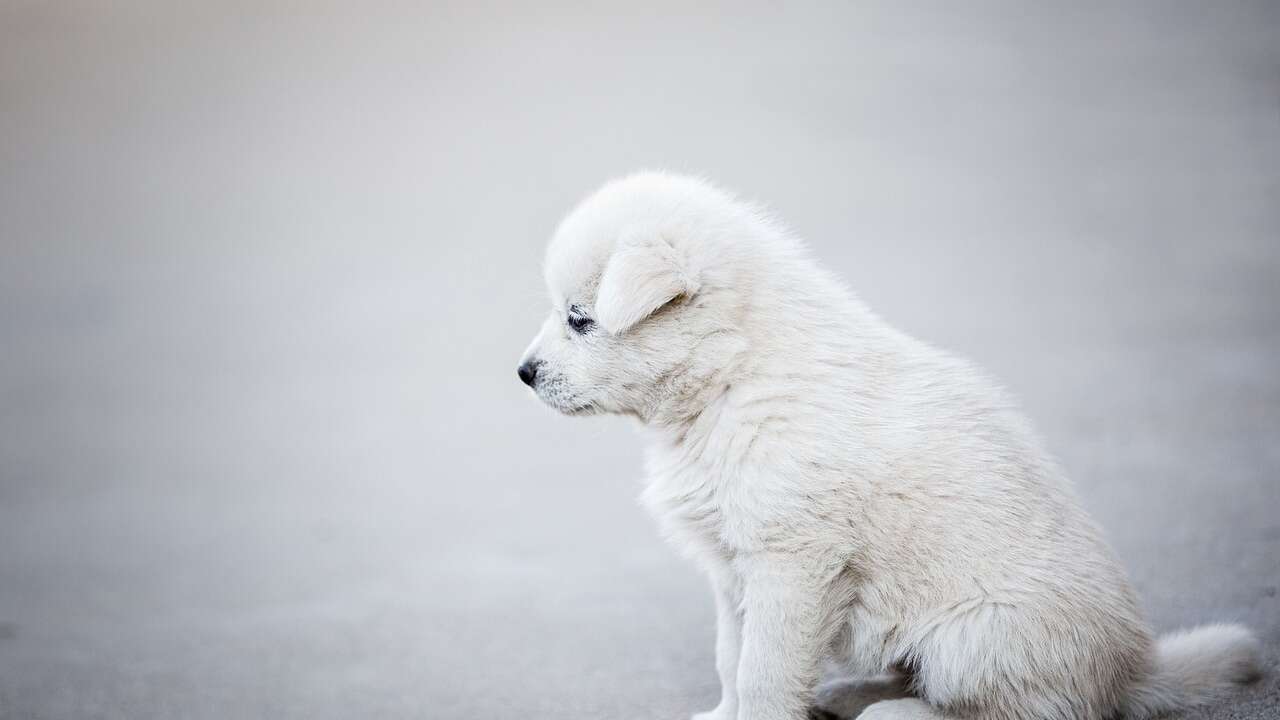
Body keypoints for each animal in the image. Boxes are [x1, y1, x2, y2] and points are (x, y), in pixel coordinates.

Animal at [514, 174, 1254, 717]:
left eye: (579, 319)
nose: (523, 373)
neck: (733, 377)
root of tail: (1131, 672)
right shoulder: (732, 565)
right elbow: (731, 656)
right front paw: (723, 714)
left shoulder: (792, 561)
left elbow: (763, 670)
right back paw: (847, 694)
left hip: (975, 636)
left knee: (1015, 711)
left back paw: (893, 712)